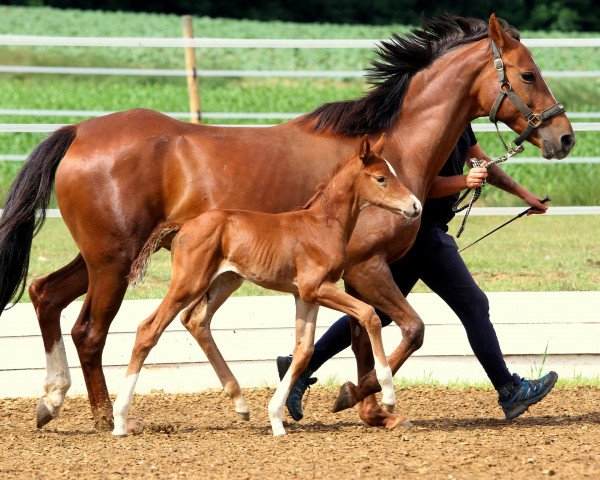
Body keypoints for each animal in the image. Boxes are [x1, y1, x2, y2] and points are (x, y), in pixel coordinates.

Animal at [0, 14, 576, 432]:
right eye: (529, 74)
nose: (565, 137)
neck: (393, 149)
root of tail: (78, 131)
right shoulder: (366, 268)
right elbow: (406, 330)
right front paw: (358, 397)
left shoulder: (352, 274)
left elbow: (362, 333)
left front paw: (363, 407)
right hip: (115, 262)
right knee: (91, 330)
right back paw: (108, 418)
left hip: (105, 258)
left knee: (47, 294)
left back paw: (52, 402)